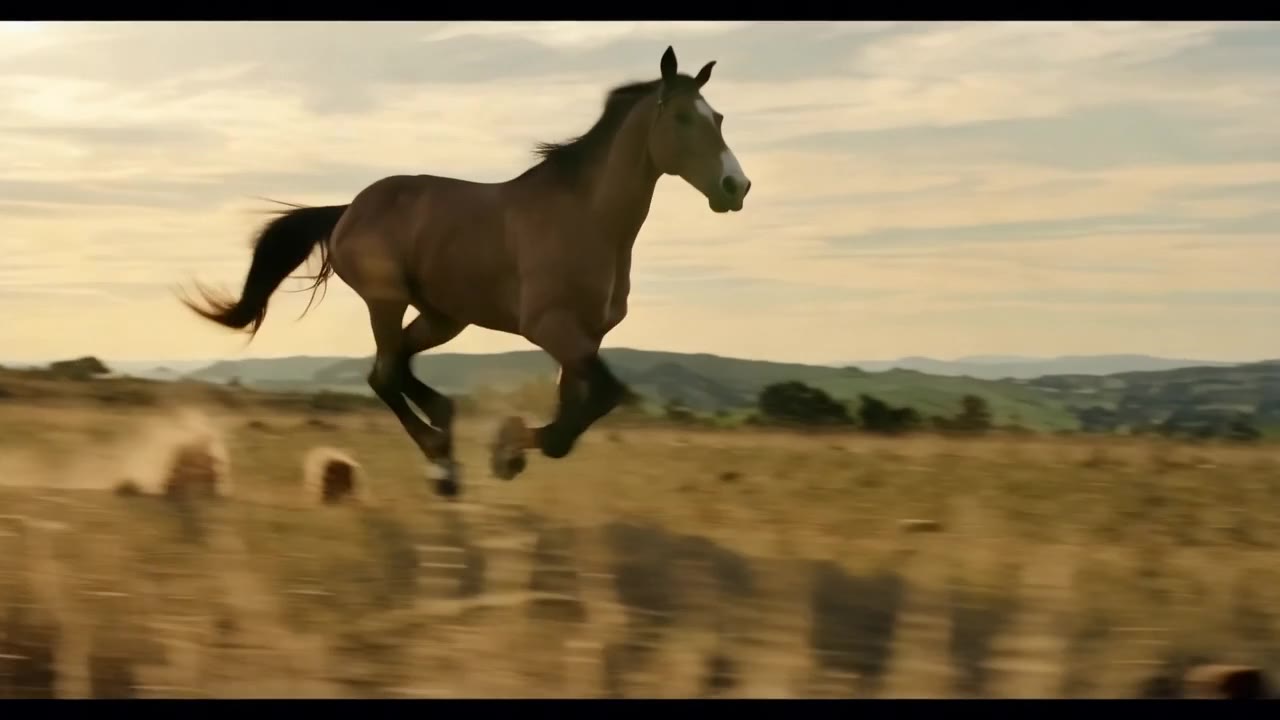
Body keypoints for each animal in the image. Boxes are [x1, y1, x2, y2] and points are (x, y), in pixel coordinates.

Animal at [179, 45, 753, 499]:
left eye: (721, 118)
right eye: (682, 118)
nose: (736, 187)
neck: (587, 218)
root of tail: (347, 210)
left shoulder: (584, 337)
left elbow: (580, 407)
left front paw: (513, 448)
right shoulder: (551, 328)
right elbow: (601, 400)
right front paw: (508, 450)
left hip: (442, 316)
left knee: (392, 369)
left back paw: (445, 442)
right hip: (386, 300)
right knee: (386, 374)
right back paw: (443, 460)